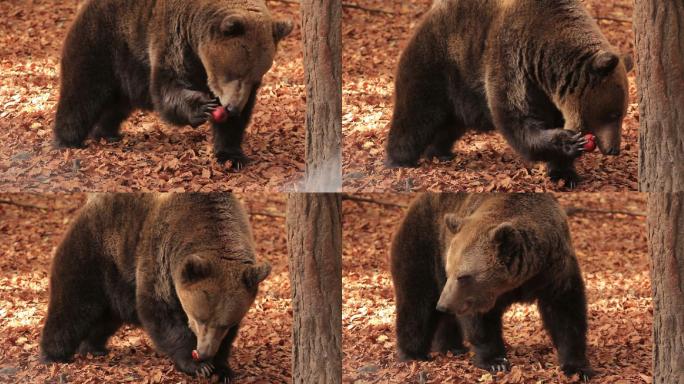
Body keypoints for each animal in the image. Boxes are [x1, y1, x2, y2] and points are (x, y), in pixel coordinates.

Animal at [39, 195, 270, 380]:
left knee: (105, 320)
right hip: (94, 256)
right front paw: (197, 365)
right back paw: (53, 355)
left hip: (115, 286)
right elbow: (160, 312)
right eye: (200, 318)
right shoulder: (160, 257)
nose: (204, 352)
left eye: (225, 324)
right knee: (72, 308)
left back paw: (93, 348)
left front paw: (222, 368)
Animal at [50, 0, 292, 168]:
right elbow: (168, 86)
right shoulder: (174, 40)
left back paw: (107, 133)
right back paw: (67, 140)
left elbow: (235, 124)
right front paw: (203, 107)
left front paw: (232, 156)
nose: (232, 108)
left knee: (116, 107)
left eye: (256, 76)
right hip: (104, 45)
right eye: (234, 73)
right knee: (82, 94)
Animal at [388, 0, 632, 186]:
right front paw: (569, 142)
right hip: (440, 65)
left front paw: (565, 174)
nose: (614, 149)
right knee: (416, 116)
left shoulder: (549, 92)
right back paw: (398, 159)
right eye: (613, 114)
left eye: (621, 113)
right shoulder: (513, 59)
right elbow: (516, 117)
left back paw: (440, 152)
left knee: (449, 126)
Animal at [390, 194, 592, 380]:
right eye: (450, 270)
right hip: (424, 245)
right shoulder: (479, 294)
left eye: (463, 276)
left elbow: (566, 314)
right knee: (417, 302)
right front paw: (495, 361)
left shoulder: (554, 270)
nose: (443, 305)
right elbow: (479, 320)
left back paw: (452, 347)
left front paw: (577, 367)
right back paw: (413, 354)